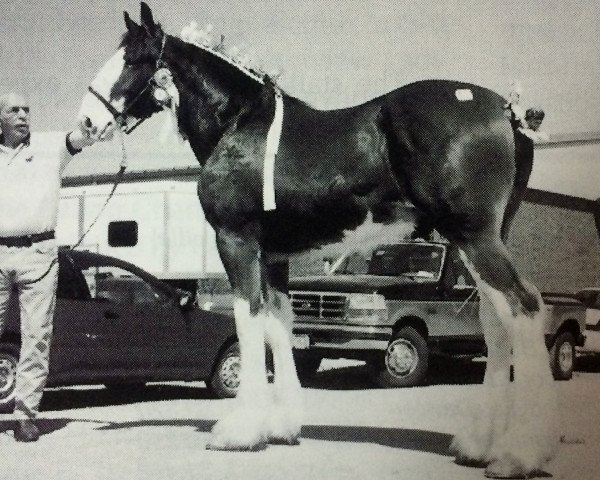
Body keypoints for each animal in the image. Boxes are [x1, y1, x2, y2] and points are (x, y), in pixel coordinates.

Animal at [78, 2, 556, 476]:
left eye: (134, 59)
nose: (85, 122)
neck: (239, 124)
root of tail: (507, 111)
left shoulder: (236, 242)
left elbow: (248, 321)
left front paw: (240, 430)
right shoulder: (275, 256)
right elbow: (279, 325)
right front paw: (281, 426)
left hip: (474, 237)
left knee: (526, 309)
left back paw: (519, 454)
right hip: (478, 242)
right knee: (496, 323)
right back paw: (479, 446)